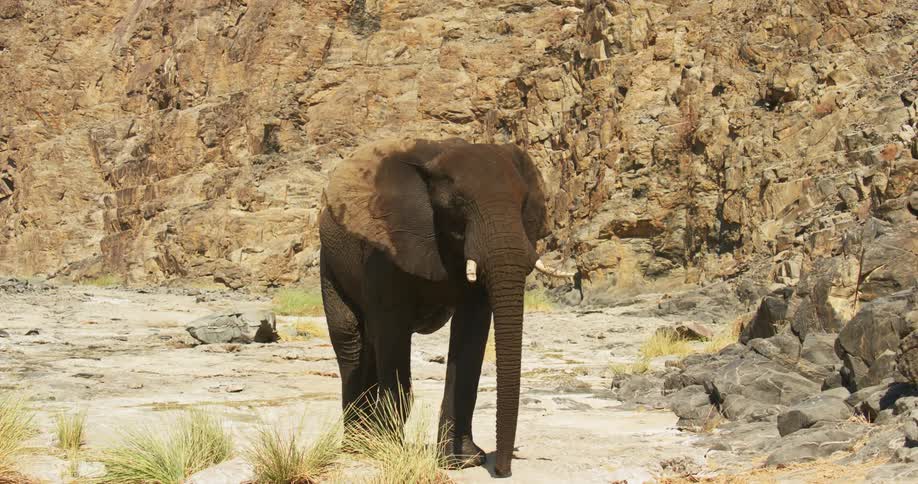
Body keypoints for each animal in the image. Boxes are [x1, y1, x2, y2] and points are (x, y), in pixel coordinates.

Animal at [318, 137, 574, 477]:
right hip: (329, 262)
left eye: (523, 204)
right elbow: (392, 328)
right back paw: (357, 445)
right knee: (351, 339)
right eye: (458, 205)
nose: (502, 471)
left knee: (370, 343)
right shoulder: (385, 248)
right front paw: (391, 450)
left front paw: (463, 461)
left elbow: (471, 333)